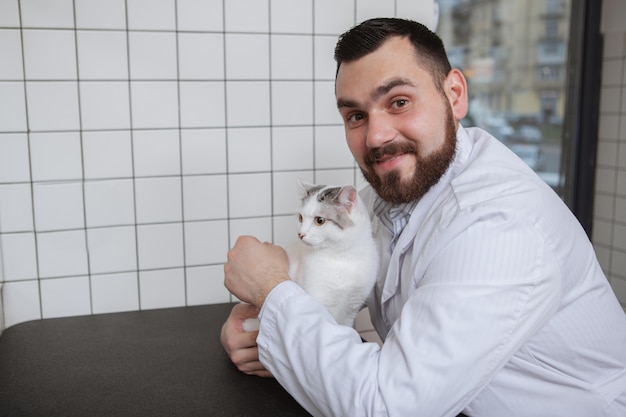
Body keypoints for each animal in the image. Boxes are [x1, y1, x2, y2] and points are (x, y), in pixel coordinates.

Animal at [243, 180, 380, 330]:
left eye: (319, 220)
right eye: (300, 217)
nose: (300, 234)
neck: (341, 257)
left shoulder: (351, 309)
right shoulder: (319, 298)